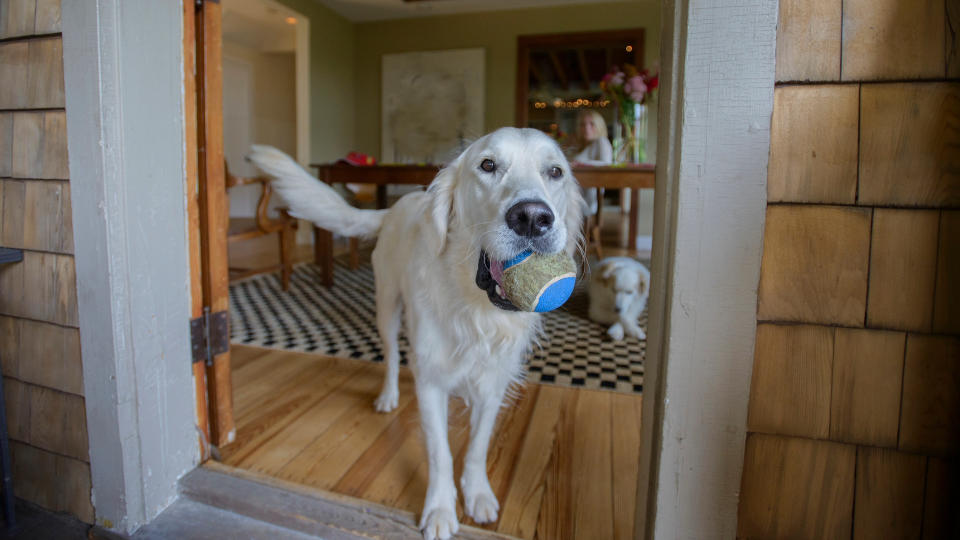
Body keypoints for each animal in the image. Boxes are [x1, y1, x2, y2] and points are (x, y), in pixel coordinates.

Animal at [246, 127, 584, 540]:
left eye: (555, 172)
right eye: (488, 165)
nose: (533, 218)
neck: (477, 311)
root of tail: (396, 206)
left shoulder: (492, 383)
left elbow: (477, 447)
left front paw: (477, 493)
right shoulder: (432, 382)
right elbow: (440, 454)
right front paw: (439, 509)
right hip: (387, 306)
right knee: (393, 357)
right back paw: (389, 395)